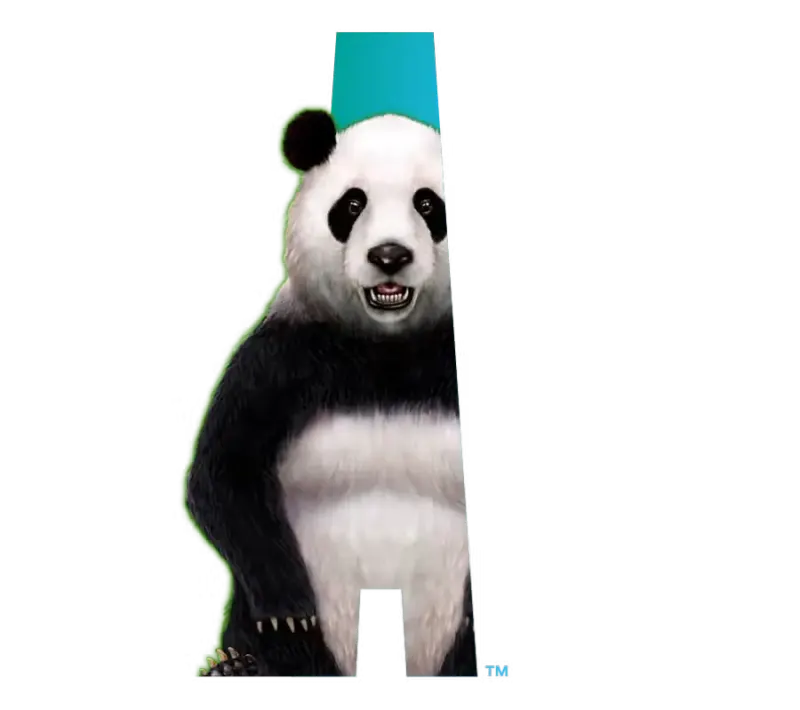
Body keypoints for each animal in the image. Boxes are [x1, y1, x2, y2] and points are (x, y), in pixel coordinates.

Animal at [188, 107, 474, 680]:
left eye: (427, 203)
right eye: (353, 204)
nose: (389, 255)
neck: (389, 346)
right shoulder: (284, 356)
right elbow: (224, 471)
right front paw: (290, 612)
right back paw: (241, 667)